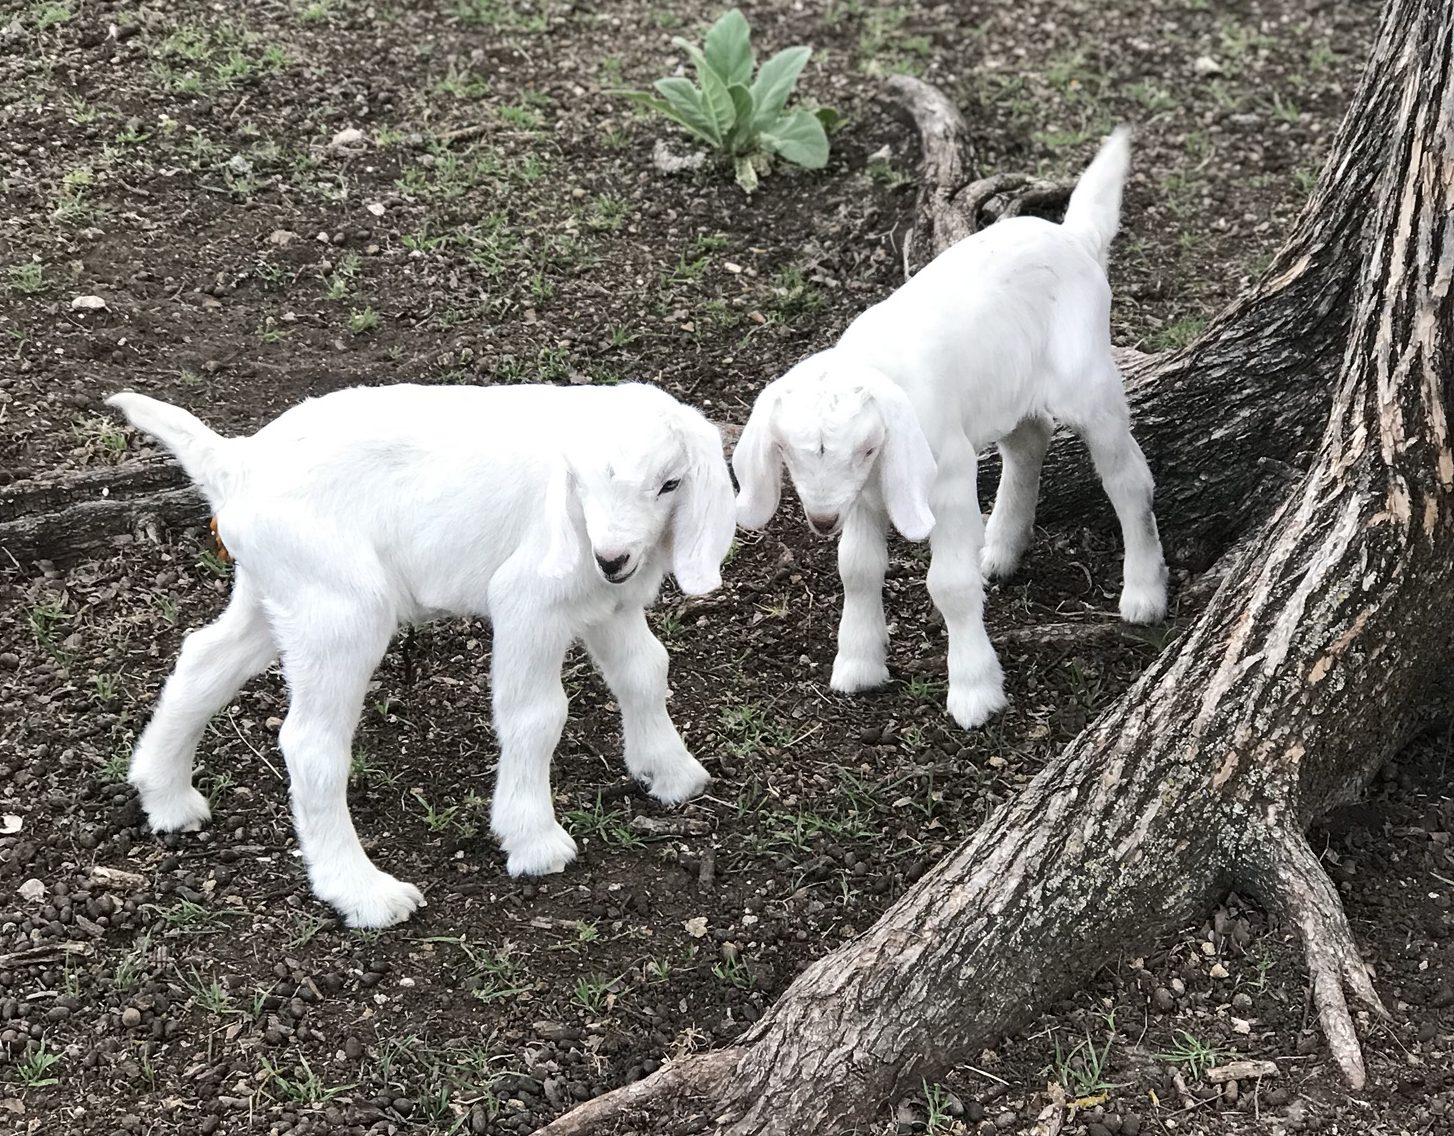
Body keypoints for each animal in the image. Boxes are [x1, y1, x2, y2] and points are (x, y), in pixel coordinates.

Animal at [106, 381, 736, 928]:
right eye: (580, 481)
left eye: (670, 484)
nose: (613, 557)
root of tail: (235, 465)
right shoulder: (529, 603)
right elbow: (536, 716)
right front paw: (533, 840)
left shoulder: (608, 605)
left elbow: (645, 671)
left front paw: (671, 772)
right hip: (340, 609)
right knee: (311, 745)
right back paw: (364, 894)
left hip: (274, 592)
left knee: (203, 660)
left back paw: (165, 795)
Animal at [732, 128, 1168, 731]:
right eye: (788, 452)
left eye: (866, 448)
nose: (820, 521)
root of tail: (1075, 239)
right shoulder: (860, 498)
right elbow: (857, 569)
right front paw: (858, 665)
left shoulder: (947, 477)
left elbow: (949, 584)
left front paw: (974, 692)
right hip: (1004, 387)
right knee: (1029, 440)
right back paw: (1001, 549)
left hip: (1089, 382)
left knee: (1129, 482)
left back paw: (1144, 593)